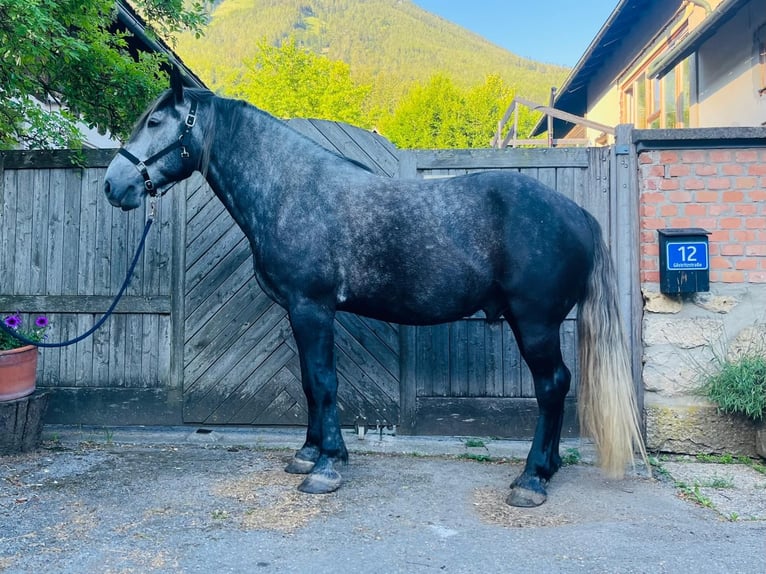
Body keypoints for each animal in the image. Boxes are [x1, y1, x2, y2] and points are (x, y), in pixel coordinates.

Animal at [104, 69, 647, 507]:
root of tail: (576, 213)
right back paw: (546, 469)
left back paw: (531, 480)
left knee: (552, 386)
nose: (114, 185)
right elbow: (309, 383)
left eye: (155, 122)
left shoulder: (312, 309)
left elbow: (324, 383)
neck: (291, 190)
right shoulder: (300, 313)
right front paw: (310, 454)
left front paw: (325, 469)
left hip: (534, 323)